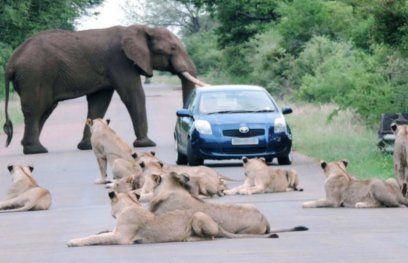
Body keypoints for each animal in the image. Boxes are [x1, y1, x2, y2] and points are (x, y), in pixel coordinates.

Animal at [3, 24, 207, 155]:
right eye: (172, 48)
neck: (144, 29)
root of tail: (11, 62)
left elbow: (99, 102)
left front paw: (87, 146)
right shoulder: (119, 61)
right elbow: (133, 95)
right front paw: (146, 144)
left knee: (44, 110)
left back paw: (32, 148)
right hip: (35, 75)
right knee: (36, 109)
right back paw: (36, 150)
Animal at [67, 192, 278, 248]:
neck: (129, 205)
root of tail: (217, 223)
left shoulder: (122, 238)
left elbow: (95, 238)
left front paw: (73, 241)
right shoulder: (117, 231)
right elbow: (101, 233)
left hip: (198, 216)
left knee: (210, 237)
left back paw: (188, 238)